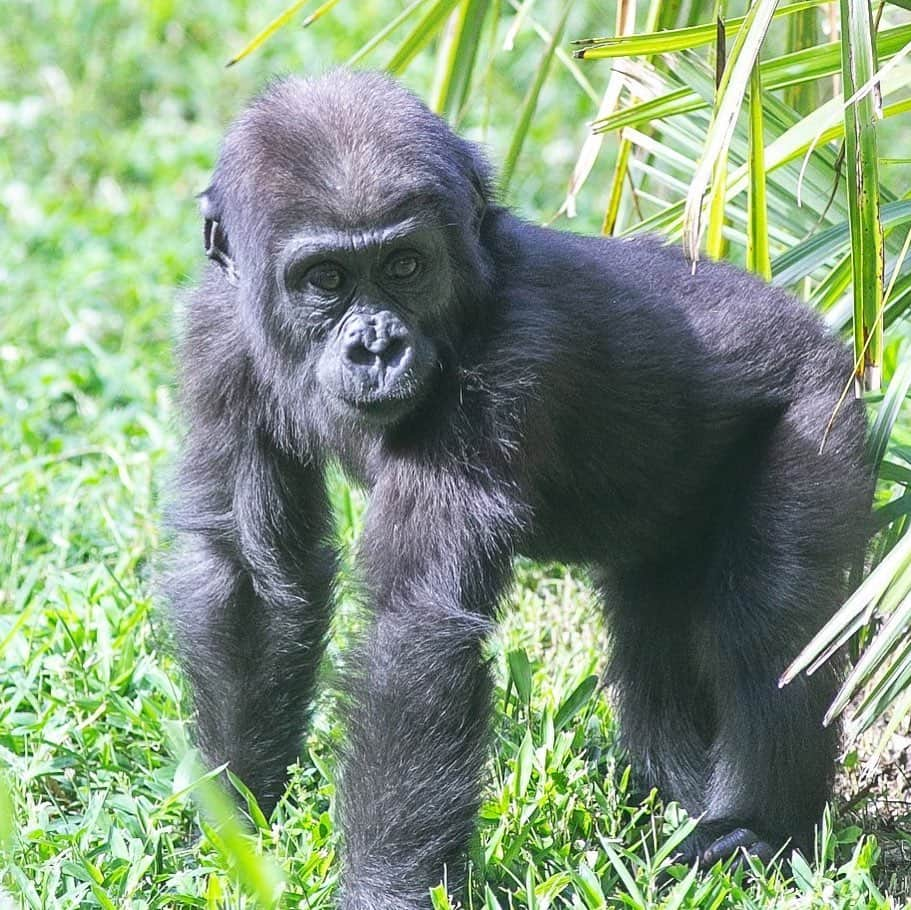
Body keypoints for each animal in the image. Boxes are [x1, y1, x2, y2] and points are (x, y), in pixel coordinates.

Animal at [167, 67, 872, 908]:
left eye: (404, 266)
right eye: (325, 280)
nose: (376, 347)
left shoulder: (510, 358)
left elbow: (417, 626)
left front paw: (382, 888)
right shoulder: (216, 330)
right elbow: (250, 572)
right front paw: (235, 819)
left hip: (820, 404)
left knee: (764, 618)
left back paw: (753, 828)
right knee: (655, 642)